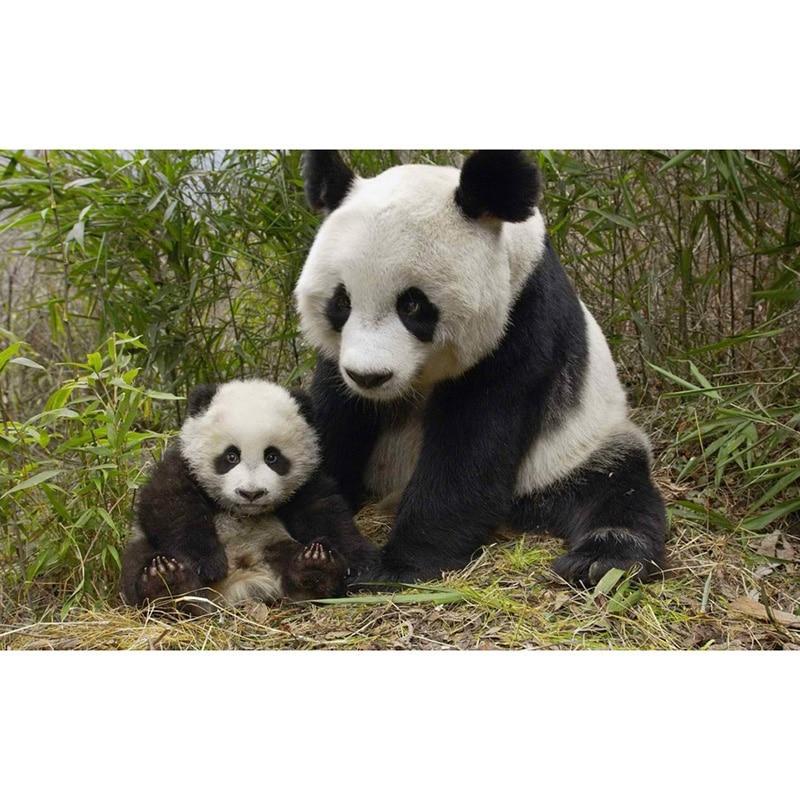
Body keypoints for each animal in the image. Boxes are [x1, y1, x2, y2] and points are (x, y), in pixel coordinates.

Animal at [120, 379, 376, 613]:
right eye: (231, 456)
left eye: (272, 457)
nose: (251, 493)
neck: (242, 512)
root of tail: (239, 584)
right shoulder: (182, 464)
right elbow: (170, 505)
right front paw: (208, 563)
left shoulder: (306, 482)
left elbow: (325, 512)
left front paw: (360, 563)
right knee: (138, 559)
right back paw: (166, 584)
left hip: (274, 543)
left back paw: (316, 569)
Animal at [294, 150, 667, 587]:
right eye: (341, 303)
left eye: (412, 304)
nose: (370, 377)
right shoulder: (338, 363)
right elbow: (334, 419)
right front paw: (323, 543)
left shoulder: (522, 322)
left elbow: (472, 444)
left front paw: (396, 566)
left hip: (577, 447)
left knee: (615, 488)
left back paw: (602, 560)